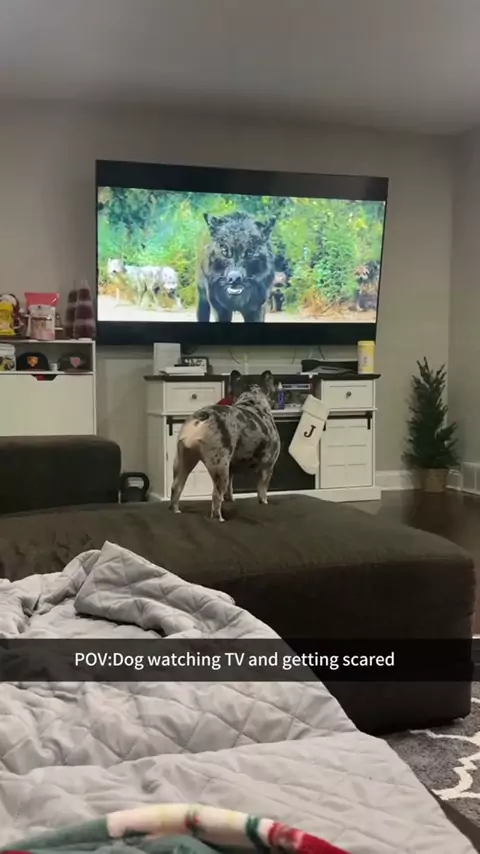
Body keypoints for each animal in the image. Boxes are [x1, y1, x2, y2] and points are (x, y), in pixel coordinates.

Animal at [169, 370, 281, 521]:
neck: (252, 400)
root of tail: (202, 416)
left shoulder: (231, 469)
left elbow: (229, 491)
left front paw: (231, 501)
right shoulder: (267, 467)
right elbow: (262, 492)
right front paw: (264, 503)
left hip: (183, 461)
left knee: (176, 488)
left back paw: (176, 512)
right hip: (220, 467)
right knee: (216, 497)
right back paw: (219, 519)